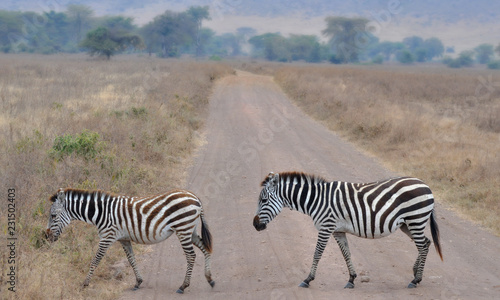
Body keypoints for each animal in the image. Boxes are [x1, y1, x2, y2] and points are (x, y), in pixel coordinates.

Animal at [44, 188, 213, 292]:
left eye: (53, 216)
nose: (46, 237)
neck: (101, 213)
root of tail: (195, 197)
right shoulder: (124, 239)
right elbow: (131, 259)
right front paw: (138, 282)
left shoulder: (107, 237)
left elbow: (95, 260)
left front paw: (85, 283)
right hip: (190, 230)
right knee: (206, 248)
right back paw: (210, 279)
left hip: (183, 229)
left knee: (191, 256)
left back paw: (183, 286)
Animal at [254, 172, 442, 290]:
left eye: (264, 200)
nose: (255, 225)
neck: (316, 200)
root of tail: (426, 185)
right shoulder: (337, 230)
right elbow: (346, 253)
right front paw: (351, 279)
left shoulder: (326, 227)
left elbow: (317, 253)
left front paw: (307, 279)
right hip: (408, 224)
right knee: (426, 242)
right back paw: (415, 272)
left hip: (415, 219)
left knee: (422, 245)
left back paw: (415, 279)